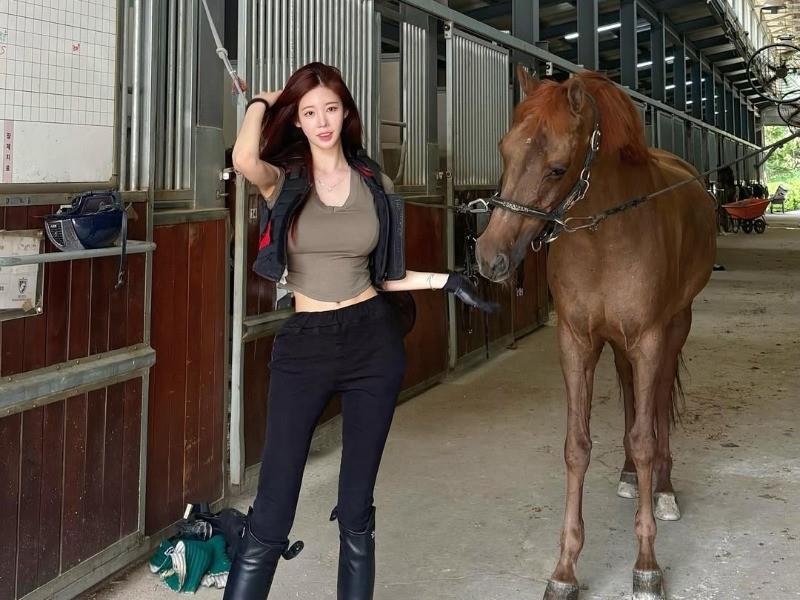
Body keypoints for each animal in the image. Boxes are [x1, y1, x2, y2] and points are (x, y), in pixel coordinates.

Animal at [475, 67, 716, 600]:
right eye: (505, 151)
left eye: (557, 169)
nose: (489, 257)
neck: (606, 239)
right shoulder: (576, 341)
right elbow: (577, 446)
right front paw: (565, 570)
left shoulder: (649, 339)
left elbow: (646, 438)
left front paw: (647, 566)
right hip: (619, 346)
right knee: (630, 394)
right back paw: (627, 476)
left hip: (675, 328)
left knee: (657, 405)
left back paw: (663, 490)